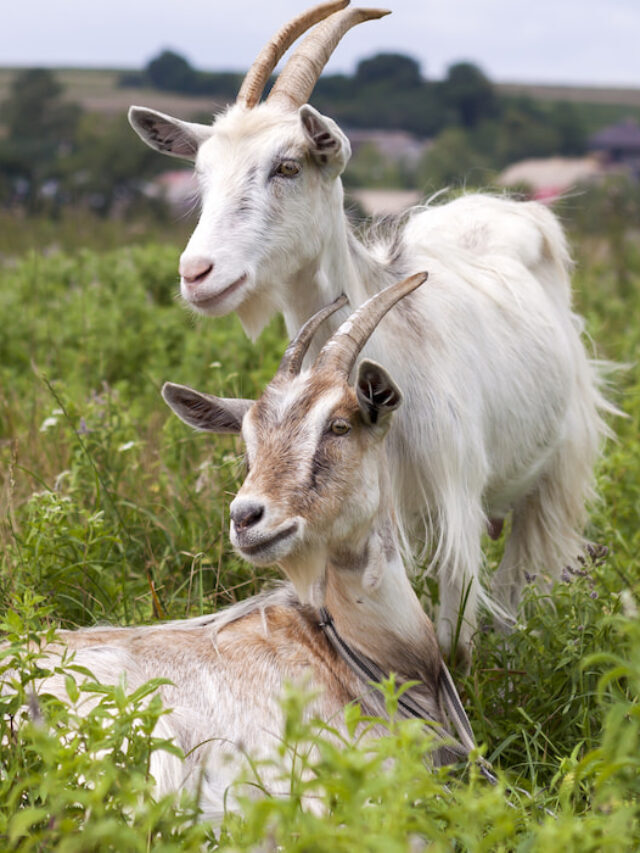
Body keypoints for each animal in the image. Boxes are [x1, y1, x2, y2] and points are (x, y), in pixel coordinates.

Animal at [127, 0, 612, 656]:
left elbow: (453, 639)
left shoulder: (453, 502)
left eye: (287, 166)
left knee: (516, 587)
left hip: (555, 470)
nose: (197, 272)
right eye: (200, 175)